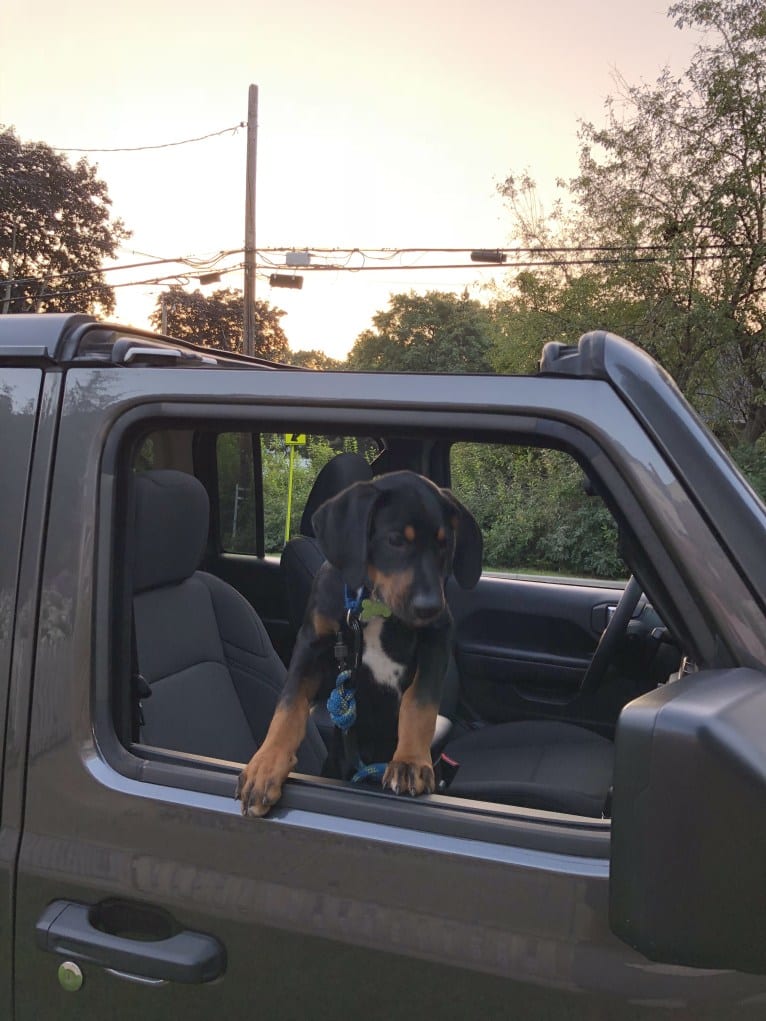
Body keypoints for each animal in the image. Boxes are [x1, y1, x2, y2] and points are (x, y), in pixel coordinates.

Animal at [236, 467, 482, 812]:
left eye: (444, 545)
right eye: (395, 540)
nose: (430, 607)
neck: (372, 603)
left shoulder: (438, 635)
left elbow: (419, 701)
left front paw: (409, 762)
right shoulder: (311, 644)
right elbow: (288, 707)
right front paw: (265, 766)